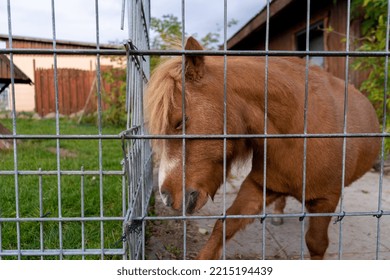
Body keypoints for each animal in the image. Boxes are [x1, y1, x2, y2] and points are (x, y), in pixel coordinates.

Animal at [145, 37, 380, 260]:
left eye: (180, 121)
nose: (166, 197)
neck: (299, 131)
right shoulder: (260, 185)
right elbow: (224, 225)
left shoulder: (326, 200)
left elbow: (316, 244)